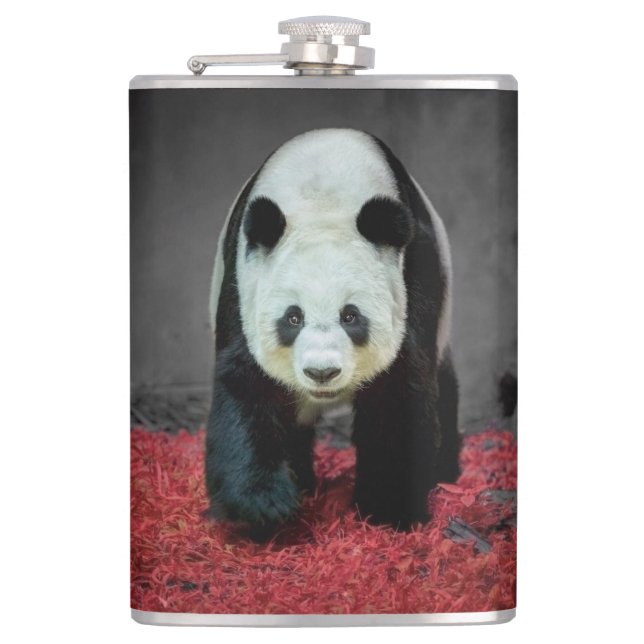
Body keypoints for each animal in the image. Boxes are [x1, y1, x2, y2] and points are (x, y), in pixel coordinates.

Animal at [206, 128, 460, 538]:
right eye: (293, 318)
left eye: (351, 316)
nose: (321, 372)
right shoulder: (242, 286)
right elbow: (246, 385)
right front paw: (264, 505)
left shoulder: (412, 276)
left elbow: (400, 388)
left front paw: (388, 509)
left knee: (443, 382)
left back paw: (446, 469)